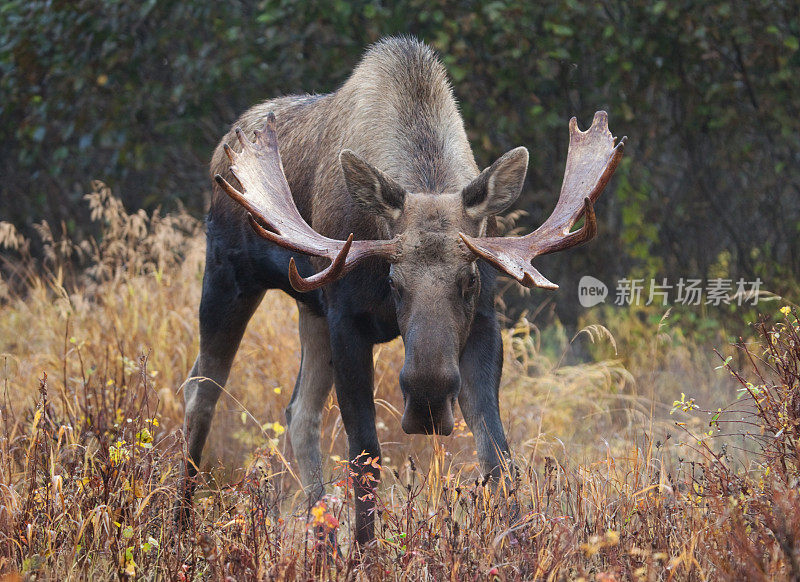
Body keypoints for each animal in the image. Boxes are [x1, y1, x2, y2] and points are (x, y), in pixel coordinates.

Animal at [181, 38, 624, 544]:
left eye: (471, 279)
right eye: (393, 280)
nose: (429, 401)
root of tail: (226, 147)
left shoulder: (482, 323)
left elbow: (497, 454)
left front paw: (517, 542)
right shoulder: (346, 319)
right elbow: (365, 458)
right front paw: (365, 551)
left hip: (309, 307)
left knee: (299, 412)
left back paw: (322, 540)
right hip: (229, 277)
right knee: (201, 391)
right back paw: (180, 523)